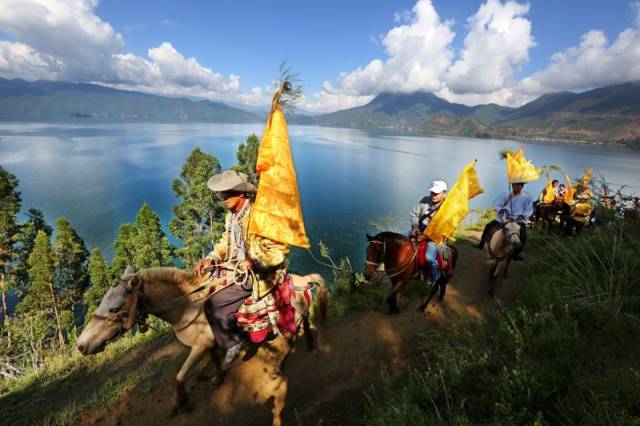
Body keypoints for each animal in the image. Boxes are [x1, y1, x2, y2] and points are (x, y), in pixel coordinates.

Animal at [75, 266, 328, 420]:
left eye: (115, 308)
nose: (81, 345)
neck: (186, 308)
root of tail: (304, 280)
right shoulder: (210, 344)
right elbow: (215, 359)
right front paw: (218, 377)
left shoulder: (199, 347)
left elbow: (179, 378)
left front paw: (182, 404)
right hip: (299, 316)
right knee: (309, 328)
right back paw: (311, 346)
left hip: (290, 320)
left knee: (291, 339)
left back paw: (279, 368)